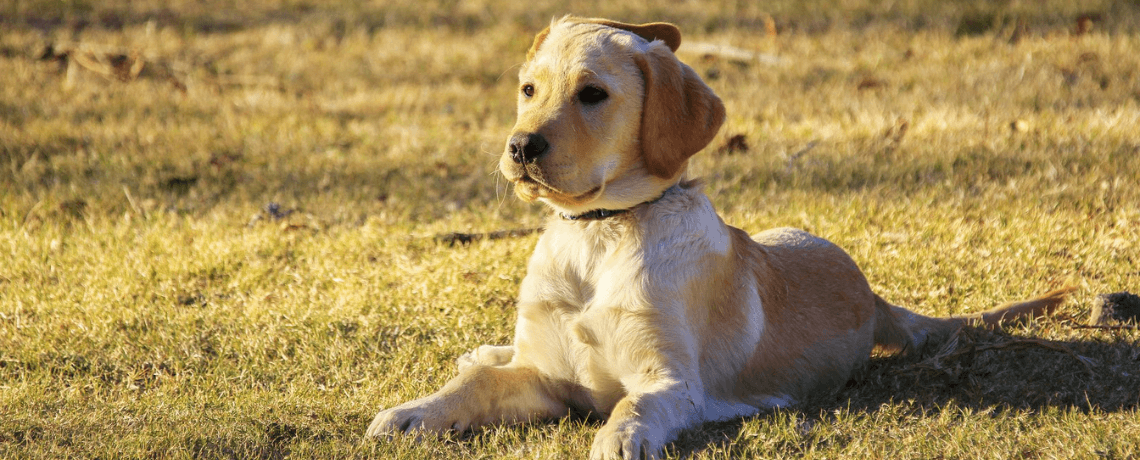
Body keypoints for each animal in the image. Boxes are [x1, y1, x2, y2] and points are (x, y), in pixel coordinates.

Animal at [367, 16, 1076, 457]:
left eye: (593, 94)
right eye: (528, 89)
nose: (520, 147)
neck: (599, 236)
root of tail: (871, 295)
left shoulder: (671, 382)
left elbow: (633, 407)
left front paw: (617, 439)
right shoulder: (542, 375)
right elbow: (474, 389)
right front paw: (413, 412)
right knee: (491, 360)